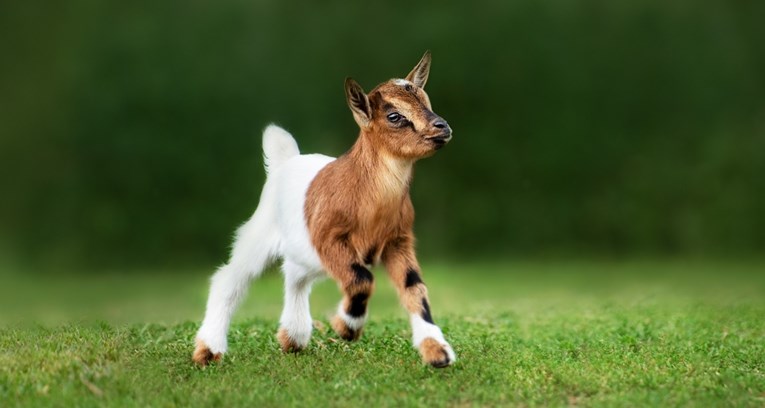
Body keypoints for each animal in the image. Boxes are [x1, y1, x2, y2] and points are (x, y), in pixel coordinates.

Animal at [192, 51, 454, 366]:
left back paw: (292, 338)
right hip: (261, 233)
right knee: (229, 278)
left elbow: (414, 288)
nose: (443, 127)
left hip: (307, 253)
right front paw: (346, 327)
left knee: (294, 274)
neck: (369, 200)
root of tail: (285, 161)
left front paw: (437, 353)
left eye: (427, 102)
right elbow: (362, 279)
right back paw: (208, 350)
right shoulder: (329, 238)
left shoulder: (398, 241)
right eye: (394, 116)